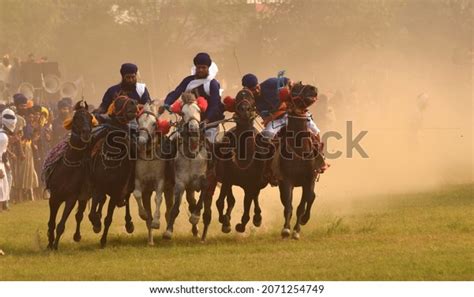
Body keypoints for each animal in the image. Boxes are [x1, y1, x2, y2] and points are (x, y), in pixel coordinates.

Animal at [44, 100, 95, 250]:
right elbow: (51, 222)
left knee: (79, 215)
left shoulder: (72, 198)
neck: (68, 168)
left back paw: (77, 235)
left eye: (90, 117)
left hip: (84, 195)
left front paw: (55, 245)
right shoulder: (54, 197)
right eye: (77, 117)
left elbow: (61, 224)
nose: (86, 133)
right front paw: (49, 242)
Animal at [86, 95, 138, 247]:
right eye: (118, 102)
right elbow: (93, 211)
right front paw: (96, 223)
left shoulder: (117, 191)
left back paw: (129, 223)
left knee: (126, 199)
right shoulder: (98, 186)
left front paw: (103, 240)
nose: (133, 104)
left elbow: (108, 218)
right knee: (102, 200)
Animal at [133, 102, 174, 245]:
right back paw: (150, 241)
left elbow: (158, 198)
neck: (149, 155)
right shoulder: (140, 182)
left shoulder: (160, 181)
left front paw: (156, 222)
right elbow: (137, 194)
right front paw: (143, 214)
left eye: (153, 123)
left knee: (168, 211)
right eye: (139, 121)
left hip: (169, 189)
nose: (141, 141)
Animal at [163, 92, 207, 240]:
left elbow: (200, 200)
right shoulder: (180, 183)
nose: (193, 129)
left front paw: (195, 218)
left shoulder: (205, 180)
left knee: (192, 202)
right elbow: (175, 208)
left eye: (199, 110)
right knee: (170, 206)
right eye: (183, 112)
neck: (192, 154)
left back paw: (195, 229)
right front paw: (168, 231)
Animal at [276, 82, 324, 239]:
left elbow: (302, 206)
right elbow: (288, 206)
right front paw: (286, 229)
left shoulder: (309, 180)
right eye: (295, 88)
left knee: (311, 198)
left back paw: (304, 219)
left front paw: (296, 231)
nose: (313, 88)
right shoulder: (286, 181)